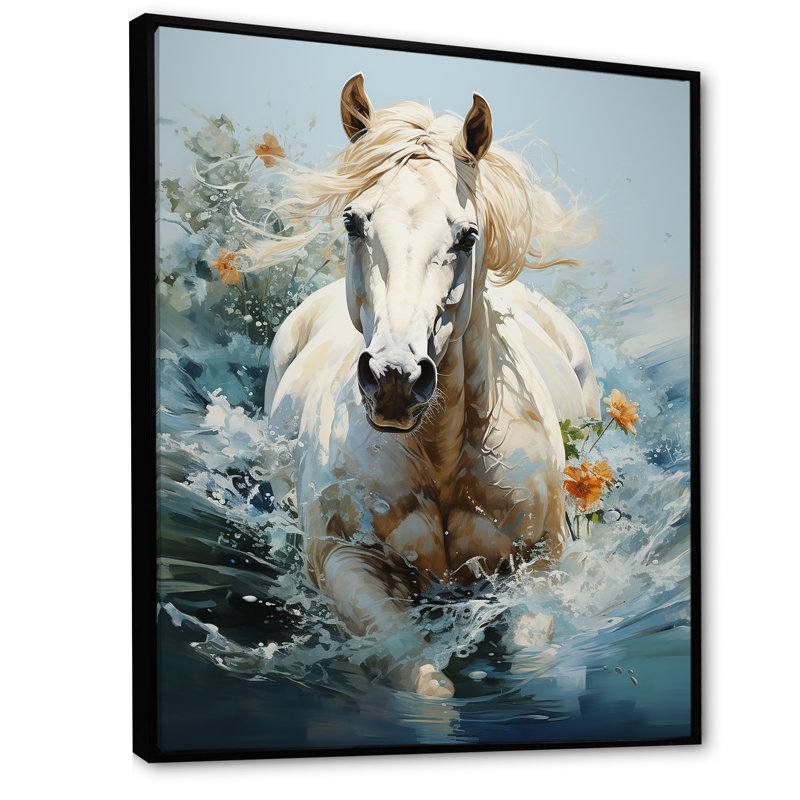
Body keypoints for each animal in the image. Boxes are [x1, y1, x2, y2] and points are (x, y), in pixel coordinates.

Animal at [262, 74, 600, 697]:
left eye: (467, 235)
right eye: (353, 221)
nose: (395, 378)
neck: (439, 459)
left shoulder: (540, 563)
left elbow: (534, 667)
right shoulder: (348, 567)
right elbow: (426, 687)